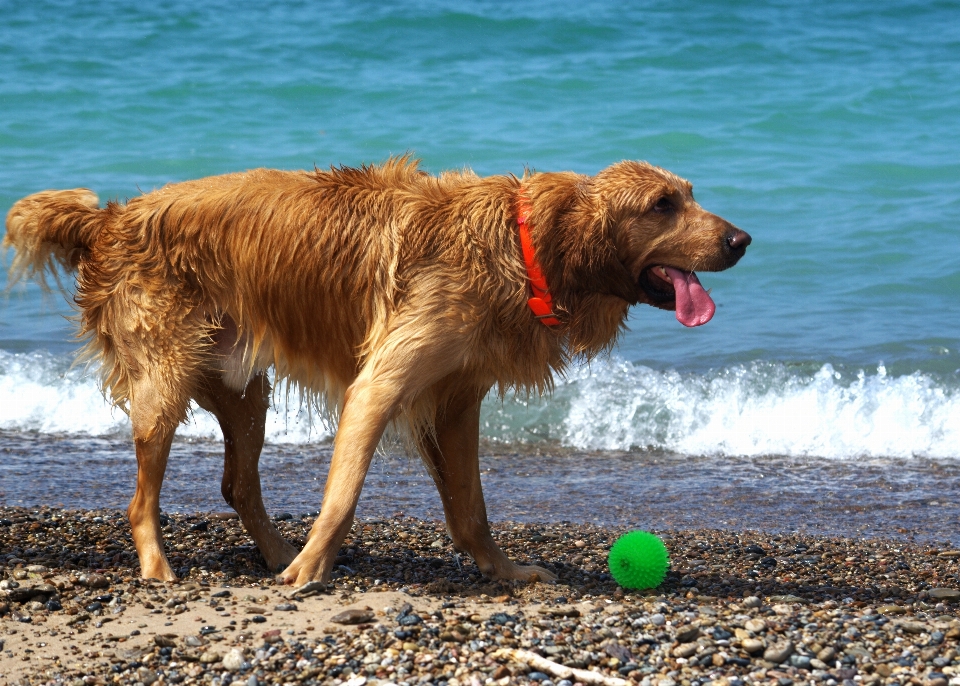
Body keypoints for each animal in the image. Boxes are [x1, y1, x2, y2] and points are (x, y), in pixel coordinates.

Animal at [3, 160, 752, 584]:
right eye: (662, 205)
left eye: (688, 196)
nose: (742, 240)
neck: (523, 245)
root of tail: (108, 218)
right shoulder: (380, 383)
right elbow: (343, 495)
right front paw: (312, 571)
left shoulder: (457, 400)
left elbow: (471, 508)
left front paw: (504, 571)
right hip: (166, 378)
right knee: (142, 500)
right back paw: (163, 568)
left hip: (243, 388)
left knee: (237, 482)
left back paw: (273, 552)